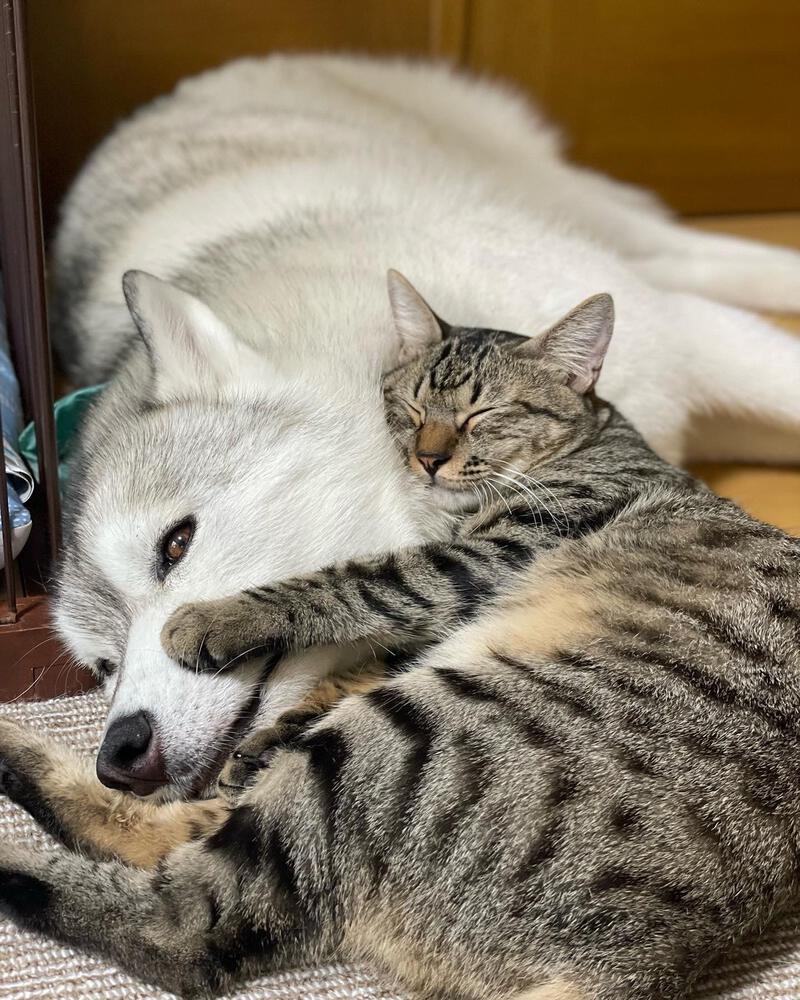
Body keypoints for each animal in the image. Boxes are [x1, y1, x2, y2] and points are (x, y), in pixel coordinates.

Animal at [1, 278, 800, 1000]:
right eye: (410, 407)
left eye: (176, 546)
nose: (120, 751)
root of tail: (642, 963)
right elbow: (356, 647)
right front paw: (268, 733)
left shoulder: (480, 559)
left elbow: (352, 583)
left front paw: (213, 619)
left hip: (409, 735)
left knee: (185, 926)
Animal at [50, 56, 800, 804]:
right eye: (102, 666)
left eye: (174, 545)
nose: (119, 757)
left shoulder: (683, 341)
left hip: (567, 201)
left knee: (678, 247)